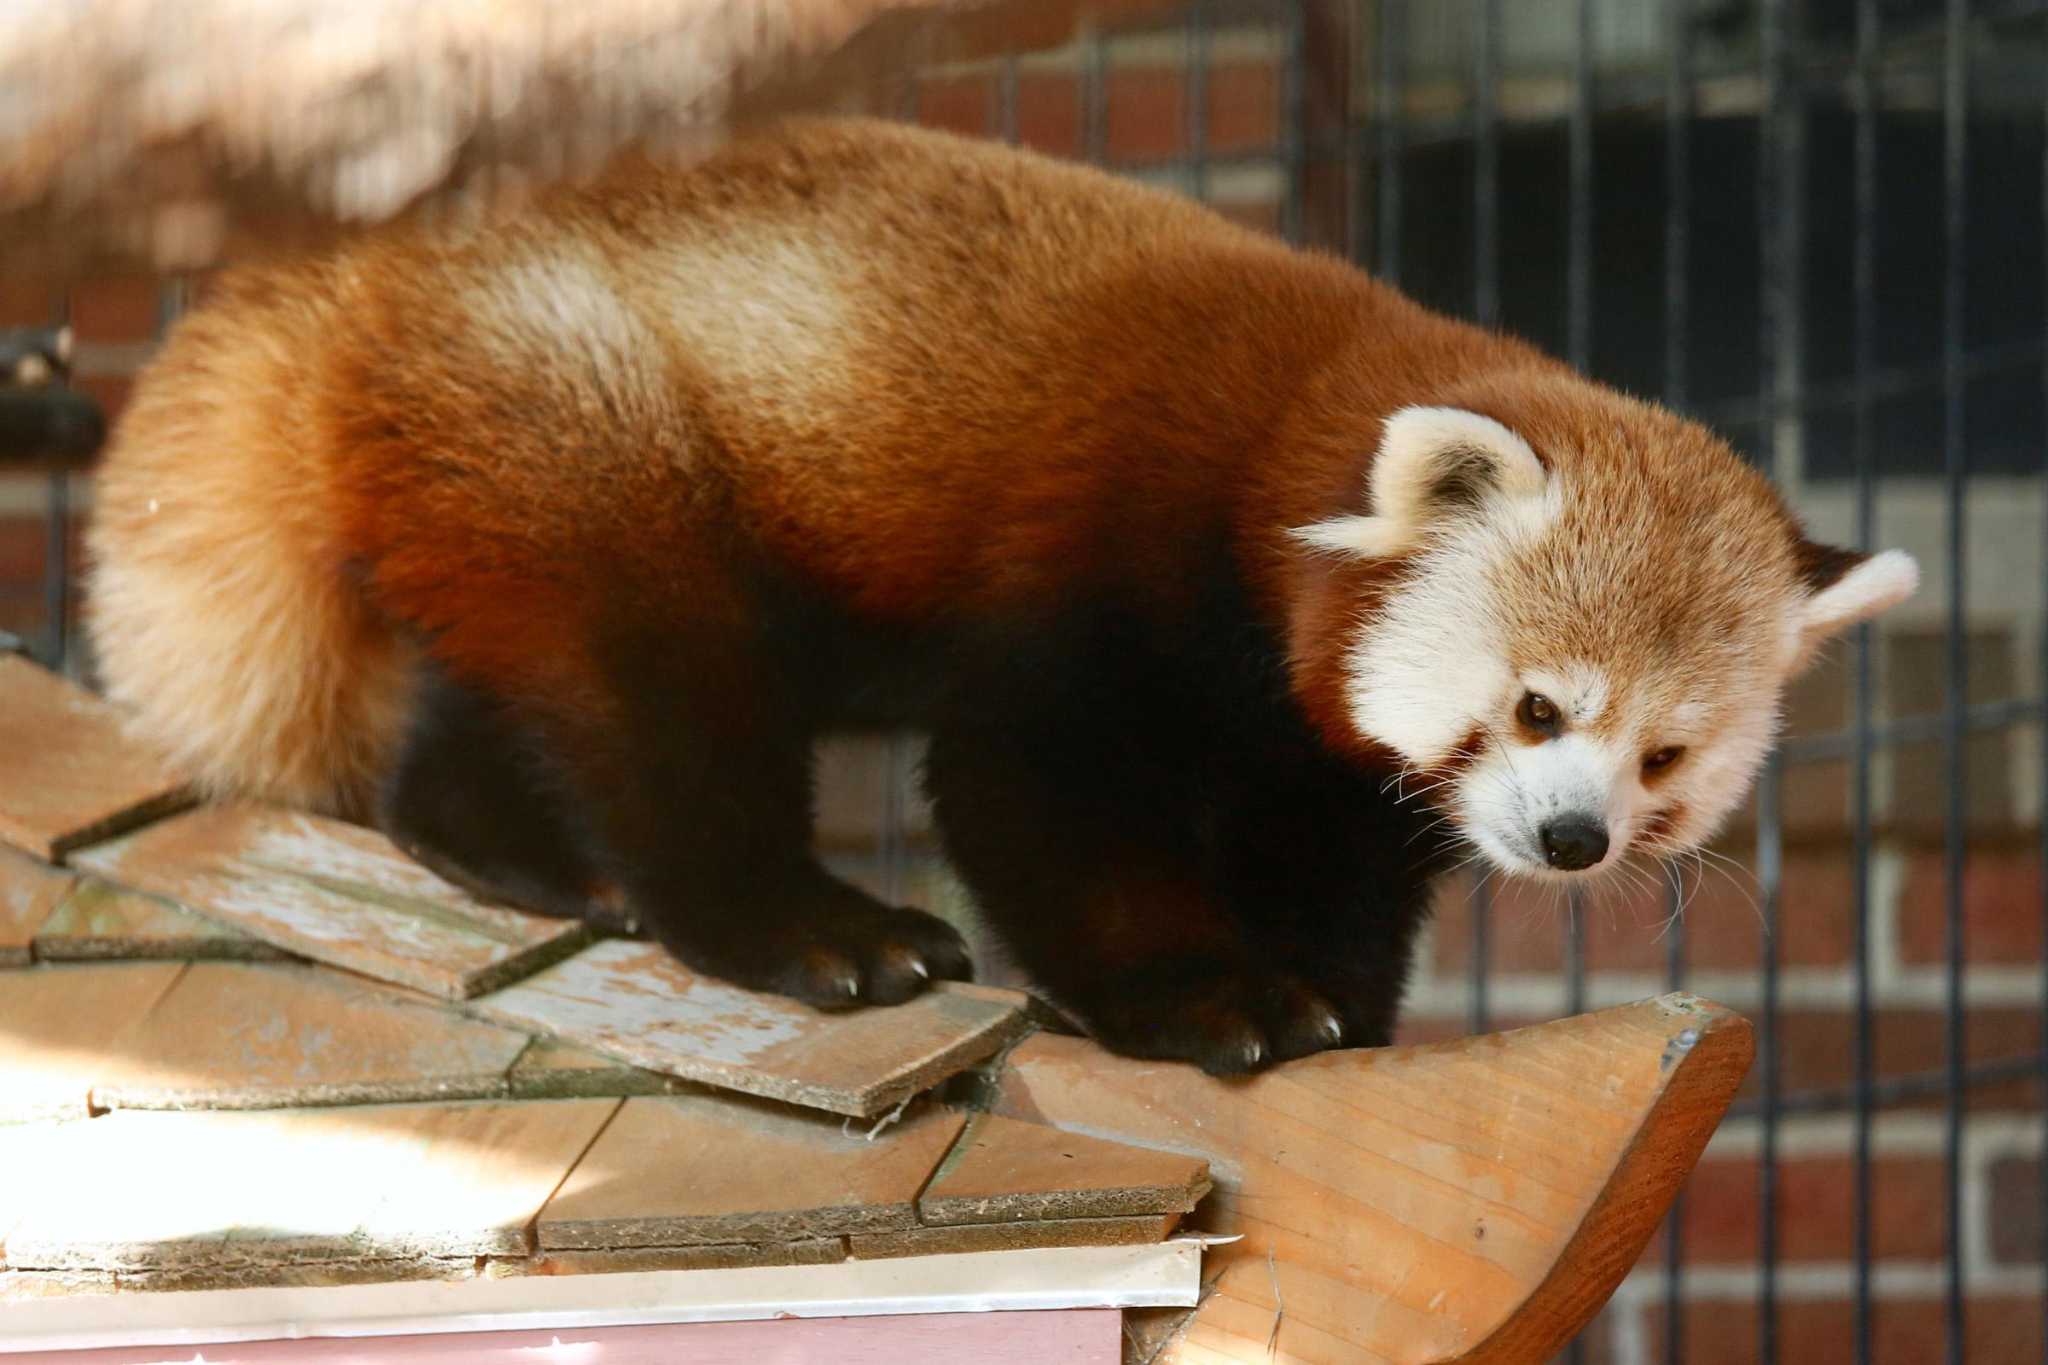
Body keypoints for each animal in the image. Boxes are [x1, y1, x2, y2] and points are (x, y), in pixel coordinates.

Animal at [88, 120, 1908, 1080]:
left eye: (1665, 760)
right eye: (1538, 707)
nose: (1573, 842)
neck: (1283, 446)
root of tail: (376, 280)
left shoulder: (1316, 755)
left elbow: (1329, 855)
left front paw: (1337, 1005)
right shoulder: (1105, 574)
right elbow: (1041, 799)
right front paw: (1219, 1000)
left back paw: (508, 848)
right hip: (587, 425)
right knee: (663, 709)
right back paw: (812, 926)